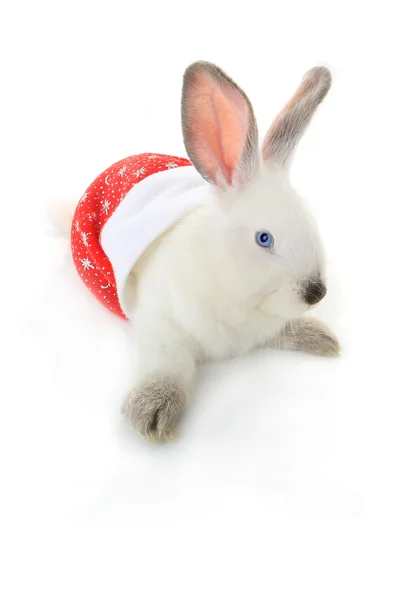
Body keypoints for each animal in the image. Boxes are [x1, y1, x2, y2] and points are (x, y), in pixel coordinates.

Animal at [68, 61, 338, 440]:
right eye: (264, 238)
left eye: (309, 219)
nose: (317, 293)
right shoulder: (161, 324)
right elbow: (167, 366)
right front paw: (152, 410)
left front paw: (319, 337)